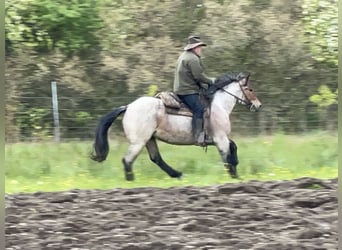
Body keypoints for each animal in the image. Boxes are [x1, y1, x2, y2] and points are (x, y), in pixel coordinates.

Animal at [90, 73, 262, 182]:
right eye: (250, 89)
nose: (258, 105)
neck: (219, 105)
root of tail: (128, 107)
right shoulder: (220, 139)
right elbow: (227, 156)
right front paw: (234, 175)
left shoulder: (217, 139)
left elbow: (233, 147)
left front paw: (236, 171)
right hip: (139, 142)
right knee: (128, 160)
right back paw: (131, 182)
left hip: (149, 139)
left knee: (156, 158)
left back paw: (177, 174)